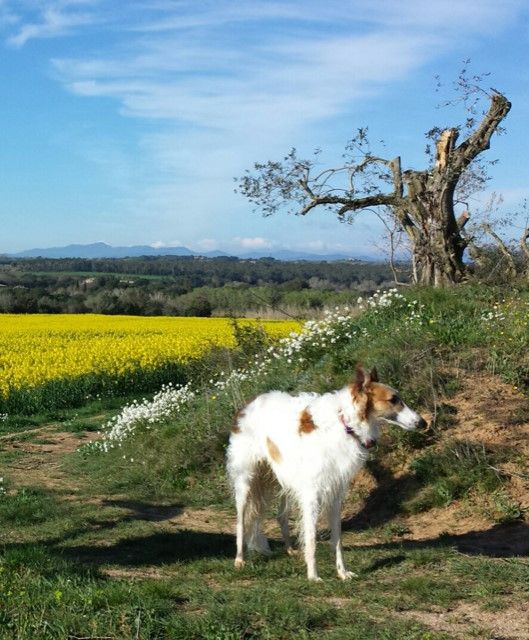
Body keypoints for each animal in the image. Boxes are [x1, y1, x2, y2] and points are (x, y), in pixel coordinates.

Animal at [226, 364, 424, 580]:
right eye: (393, 399)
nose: (423, 423)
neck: (346, 425)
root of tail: (248, 404)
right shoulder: (312, 494)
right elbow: (312, 538)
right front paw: (313, 575)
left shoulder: (335, 494)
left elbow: (337, 539)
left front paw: (342, 572)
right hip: (246, 481)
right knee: (241, 521)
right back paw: (239, 559)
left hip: (284, 480)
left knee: (281, 516)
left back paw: (290, 550)